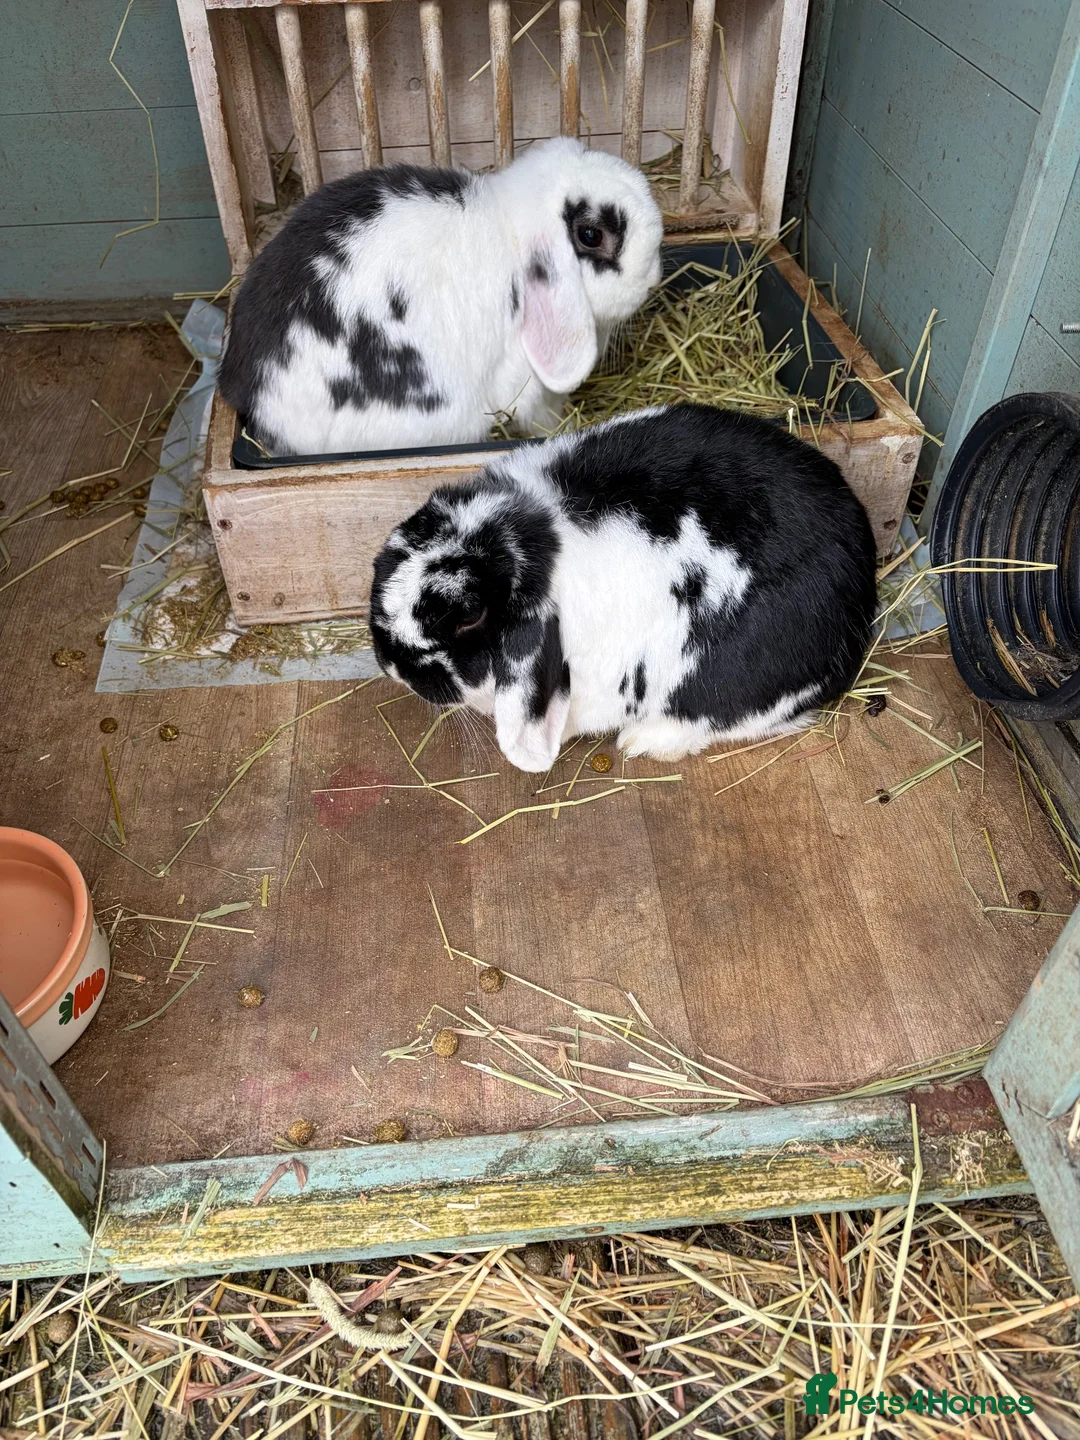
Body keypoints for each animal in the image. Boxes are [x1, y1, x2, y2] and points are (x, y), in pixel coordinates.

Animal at [218, 137, 664, 457]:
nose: (654, 277)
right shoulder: (527, 385)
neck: (509, 229)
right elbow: (542, 417)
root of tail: (262, 404)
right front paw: (567, 427)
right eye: (591, 235)